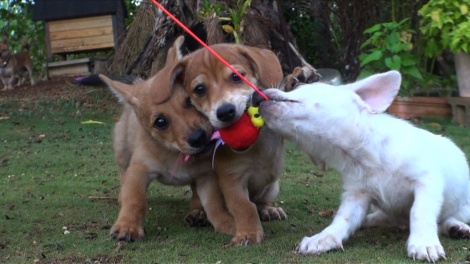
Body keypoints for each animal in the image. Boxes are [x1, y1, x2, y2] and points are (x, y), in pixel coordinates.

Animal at [99, 37, 235, 241]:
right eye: (160, 122)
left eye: (190, 100)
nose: (198, 137)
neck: (175, 154)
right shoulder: (139, 171)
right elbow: (135, 200)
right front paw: (127, 225)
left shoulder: (206, 176)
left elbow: (214, 203)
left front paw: (227, 223)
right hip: (122, 151)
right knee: (123, 174)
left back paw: (197, 213)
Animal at [171, 44, 292, 244]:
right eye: (199, 89)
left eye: (236, 76)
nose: (225, 112)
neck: (256, 146)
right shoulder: (232, 180)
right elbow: (244, 207)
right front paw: (248, 232)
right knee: (199, 201)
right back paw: (197, 214)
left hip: (273, 187)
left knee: (261, 202)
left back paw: (269, 209)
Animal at [258, 70, 470, 262]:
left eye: (300, 86)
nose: (256, 96)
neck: (362, 156)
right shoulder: (357, 195)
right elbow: (342, 219)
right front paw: (322, 238)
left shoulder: (426, 182)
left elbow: (420, 212)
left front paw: (424, 244)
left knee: (446, 218)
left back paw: (457, 227)